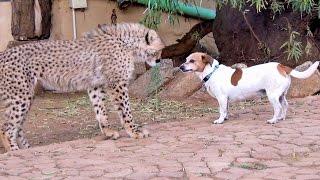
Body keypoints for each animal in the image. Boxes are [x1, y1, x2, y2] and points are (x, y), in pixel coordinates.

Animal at [180, 52, 320, 124]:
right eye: (186, 59)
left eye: (192, 61)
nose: (181, 67)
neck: (212, 72)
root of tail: (281, 66)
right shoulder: (226, 100)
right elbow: (226, 110)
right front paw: (225, 118)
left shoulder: (221, 98)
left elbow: (221, 110)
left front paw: (220, 120)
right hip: (281, 95)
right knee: (285, 105)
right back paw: (281, 118)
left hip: (272, 96)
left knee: (278, 108)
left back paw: (273, 120)